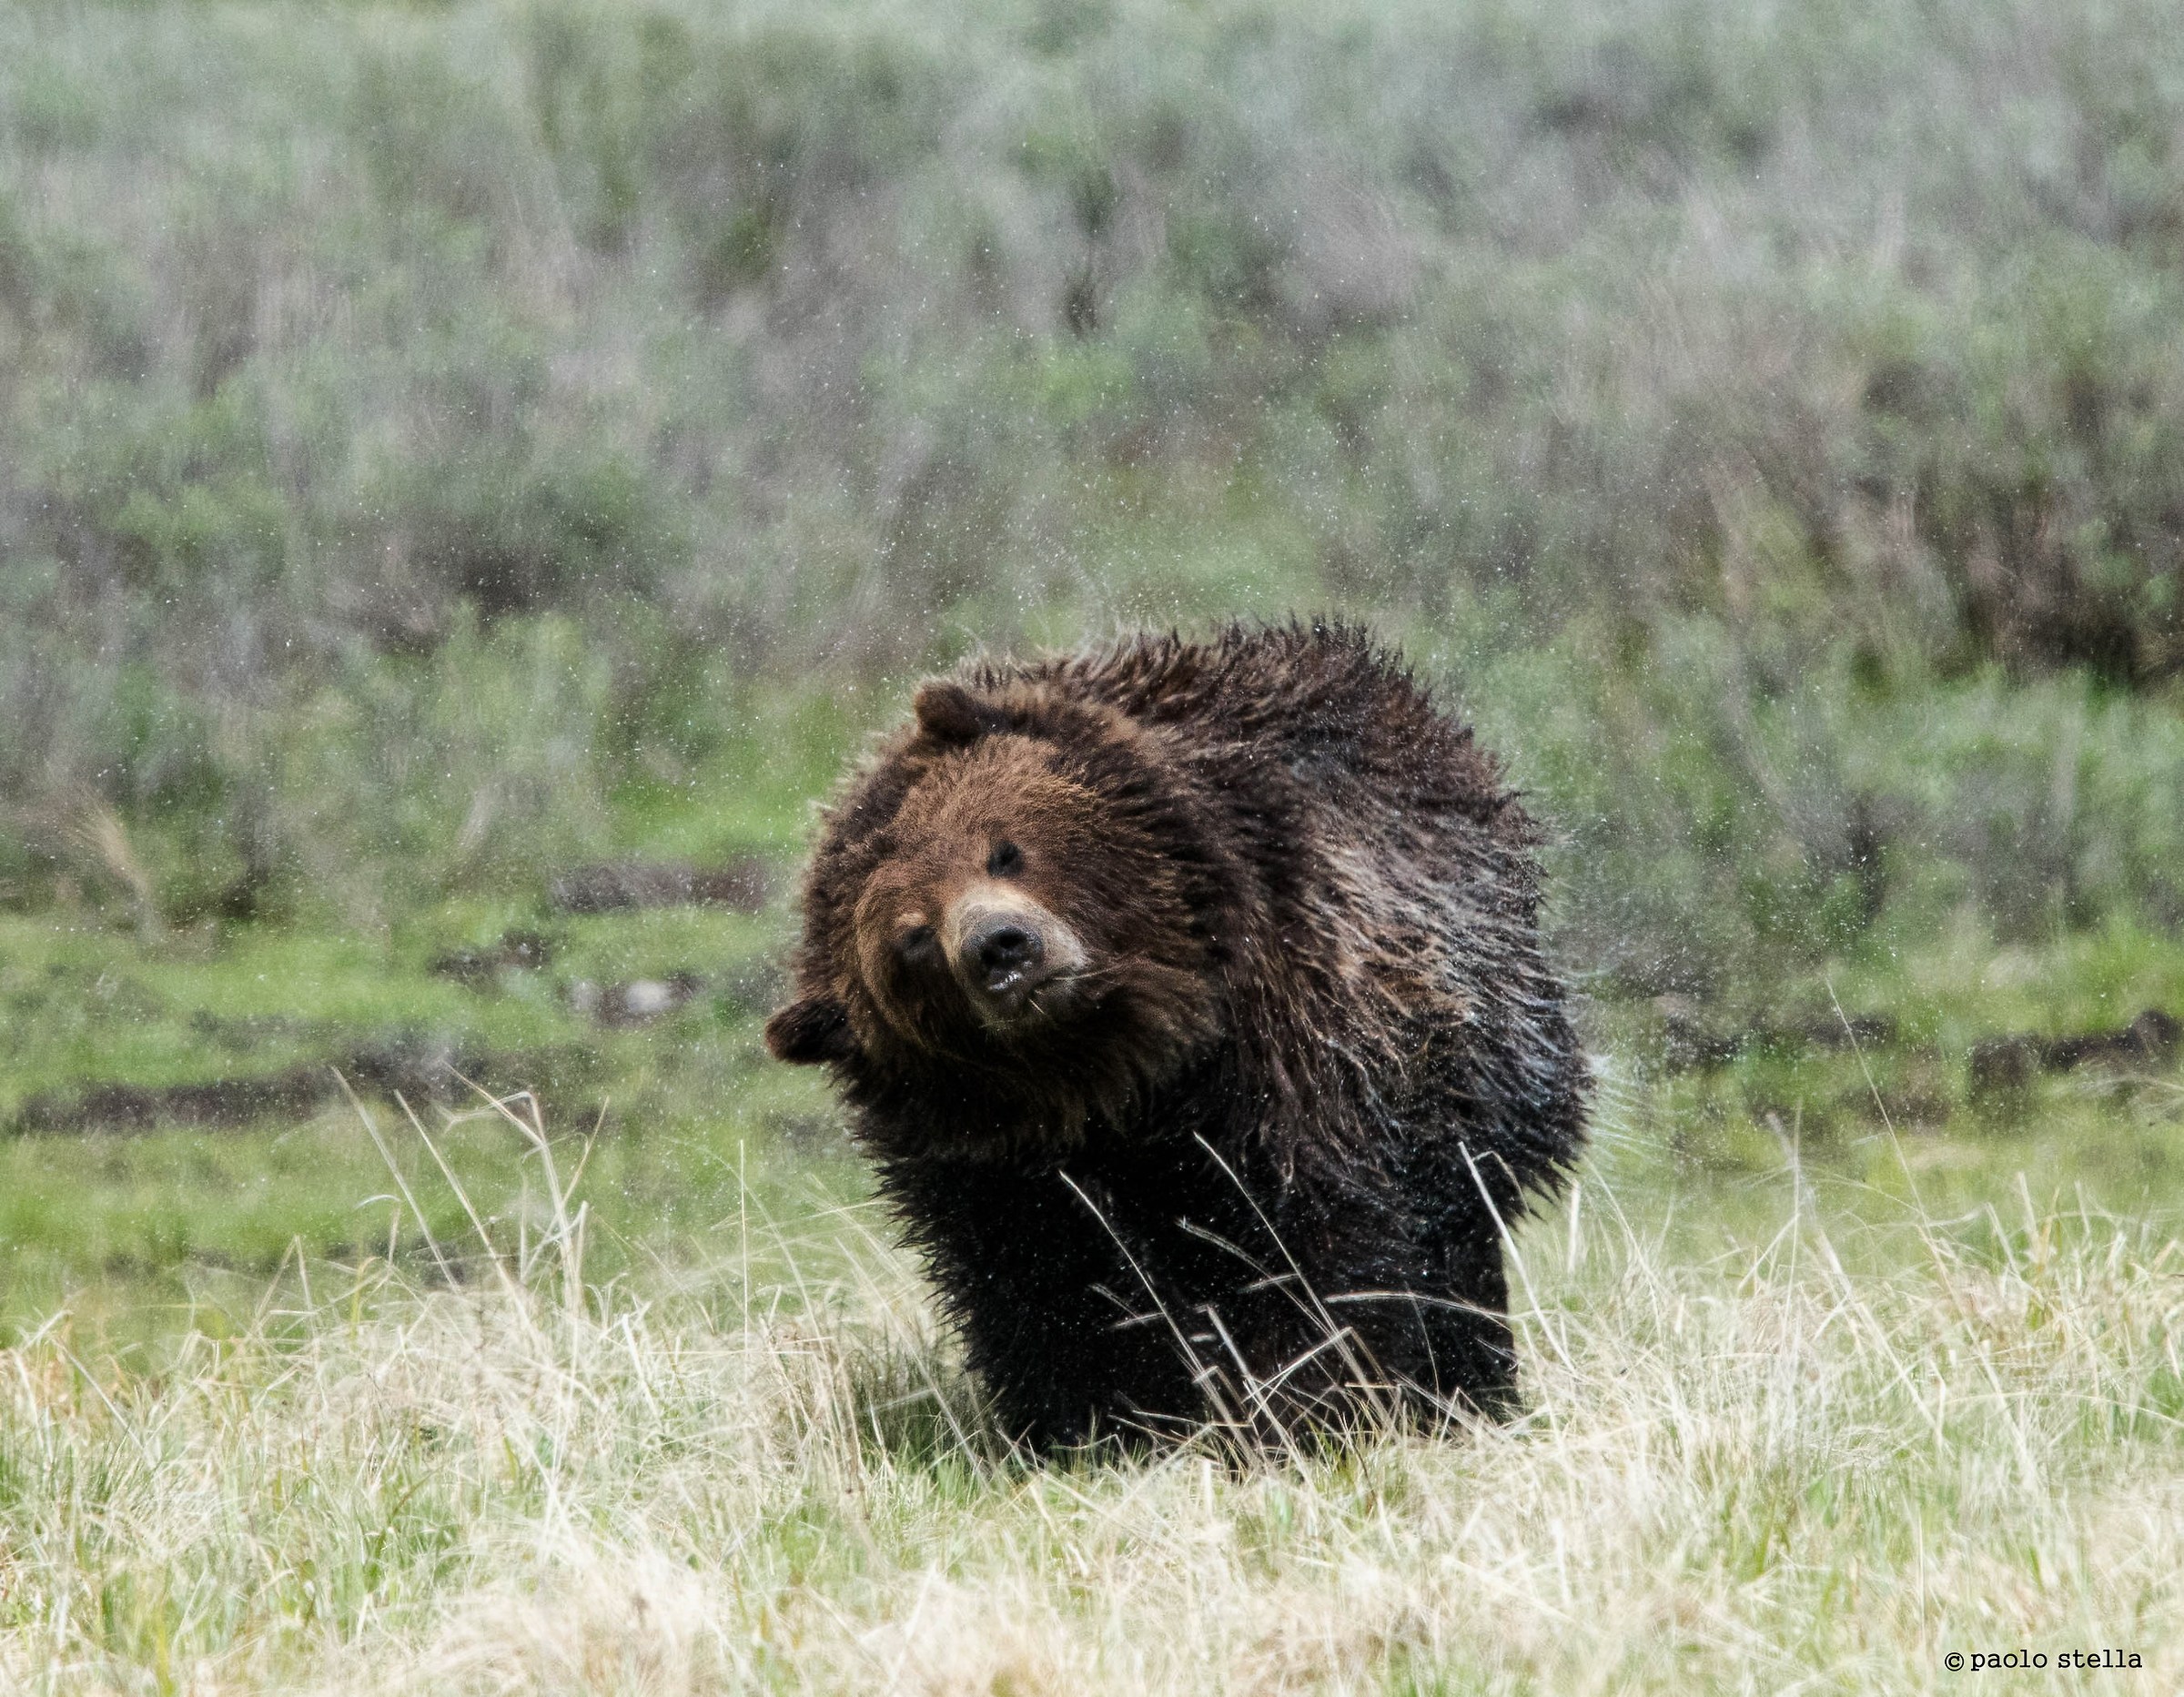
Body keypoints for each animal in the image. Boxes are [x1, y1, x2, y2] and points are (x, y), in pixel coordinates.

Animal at [765, 622, 1587, 1450]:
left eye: (1001, 848)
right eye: (913, 939)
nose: (1002, 947)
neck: (1132, 1074)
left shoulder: (1295, 1044)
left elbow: (1311, 1243)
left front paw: (1310, 1406)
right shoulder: (986, 1168)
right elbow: (1047, 1301)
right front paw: (1098, 1430)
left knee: (1460, 1231)